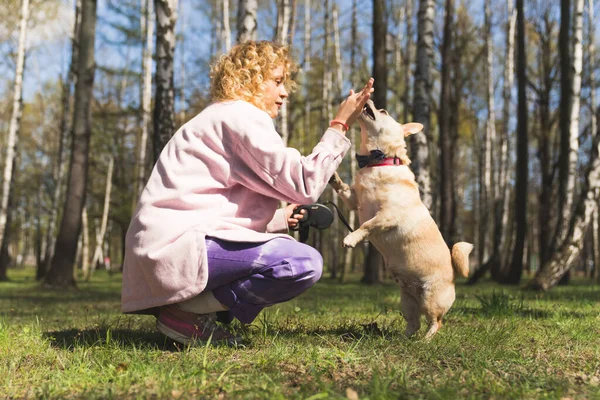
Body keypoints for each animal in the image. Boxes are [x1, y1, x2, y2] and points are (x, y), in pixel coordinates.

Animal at [328, 98, 474, 340]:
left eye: (383, 111)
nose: (370, 99)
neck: (378, 163)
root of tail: (454, 273)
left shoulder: (387, 214)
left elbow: (366, 225)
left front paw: (351, 238)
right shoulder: (354, 201)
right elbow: (344, 189)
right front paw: (334, 177)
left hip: (431, 299)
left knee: (436, 322)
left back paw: (425, 340)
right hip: (407, 301)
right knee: (414, 323)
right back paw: (402, 339)